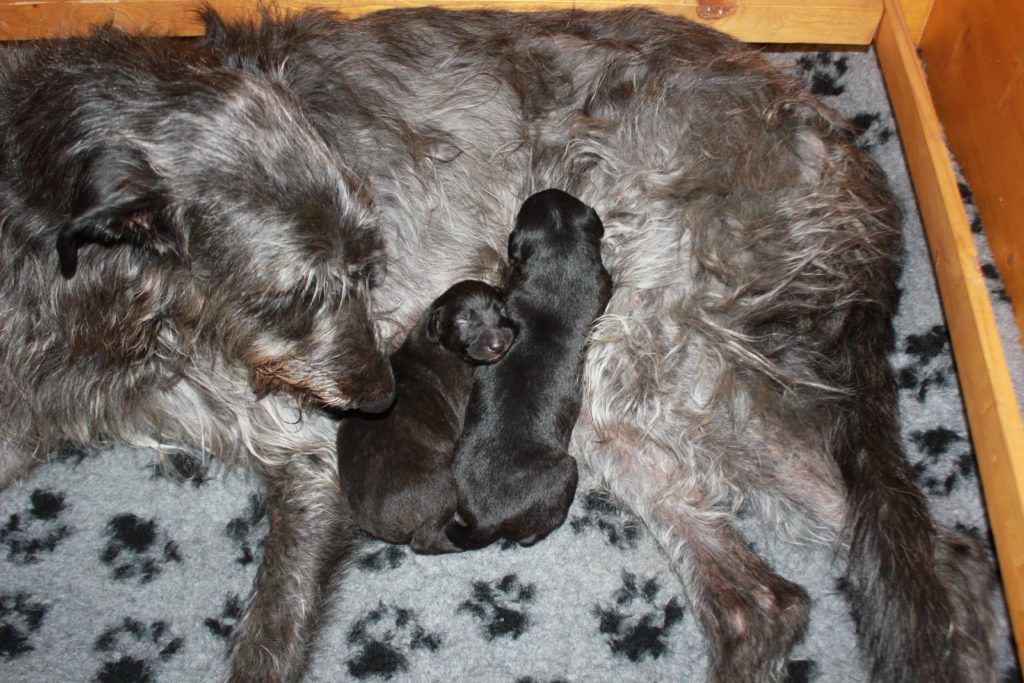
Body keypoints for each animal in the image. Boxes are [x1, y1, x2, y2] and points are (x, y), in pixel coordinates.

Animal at [338, 279, 515, 554]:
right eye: (463, 320)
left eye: (502, 310)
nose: (499, 344)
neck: (439, 343)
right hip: (445, 488)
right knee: (424, 540)